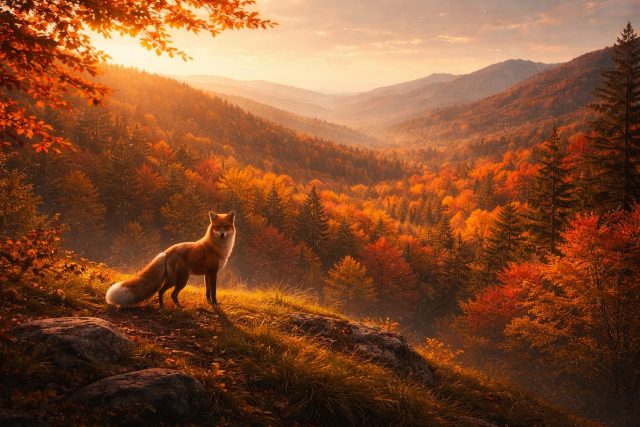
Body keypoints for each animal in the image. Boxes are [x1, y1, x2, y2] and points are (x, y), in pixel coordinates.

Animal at [106, 211, 236, 308]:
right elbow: (213, 291)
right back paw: (176, 307)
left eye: (226, 227)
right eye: (217, 227)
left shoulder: (207, 273)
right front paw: (215, 303)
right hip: (180, 280)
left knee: (163, 292)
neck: (216, 247)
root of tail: (166, 252)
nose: (222, 235)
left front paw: (209, 302)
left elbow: (208, 291)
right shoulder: (213, 272)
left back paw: (163, 306)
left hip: (175, 280)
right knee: (169, 293)